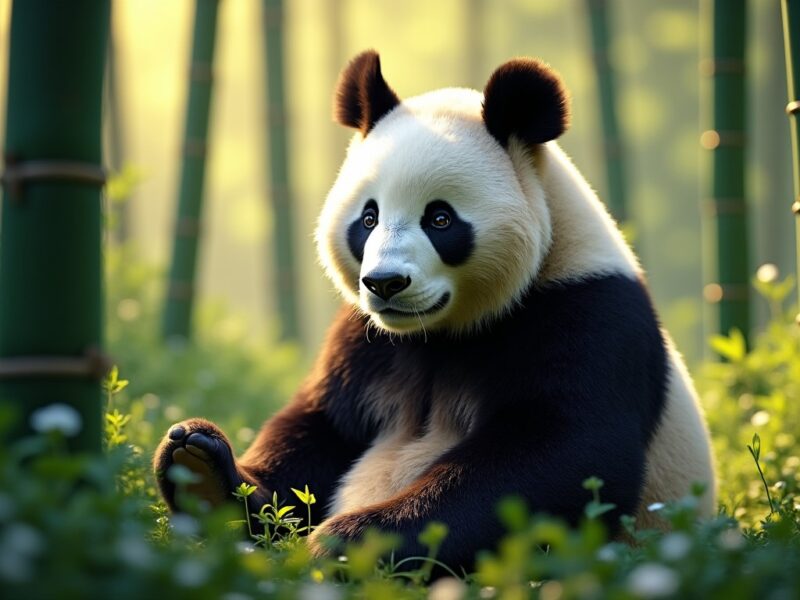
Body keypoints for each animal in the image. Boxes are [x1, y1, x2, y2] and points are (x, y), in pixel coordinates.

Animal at [154, 50, 716, 568]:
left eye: (440, 219)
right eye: (368, 217)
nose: (385, 283)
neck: (440, 331)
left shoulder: (588, 312)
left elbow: (561, 452)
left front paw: (352, 540)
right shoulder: (364, 340)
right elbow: (319, 431)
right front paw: (201, 469)